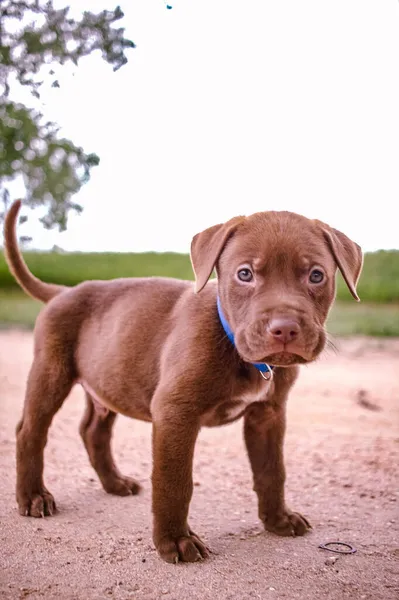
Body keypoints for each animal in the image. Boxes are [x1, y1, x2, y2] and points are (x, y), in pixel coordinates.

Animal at [3, 200, 366, 564]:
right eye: (244, 274)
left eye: (316, 275)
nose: (285, 329)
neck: (236, 346)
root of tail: (62, 292)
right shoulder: (175, 412)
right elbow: (175, 482)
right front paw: (175, 541)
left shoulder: (268, 415)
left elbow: (272, 471)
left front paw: (278, 519)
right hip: (51, 371)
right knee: (30, 431)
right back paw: (33, 497)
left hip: (107, 380)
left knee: (93, 430)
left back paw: (115, 483)